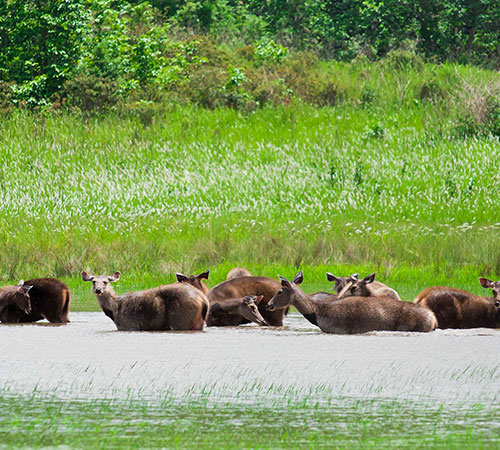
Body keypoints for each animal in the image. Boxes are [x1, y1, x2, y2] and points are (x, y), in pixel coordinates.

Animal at [81, 270, 209, 330]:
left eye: (105, 282)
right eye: (93, 281)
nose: (98, 290)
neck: (114, 310)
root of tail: (203, 300)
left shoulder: (130, 325)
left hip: (182, 320)